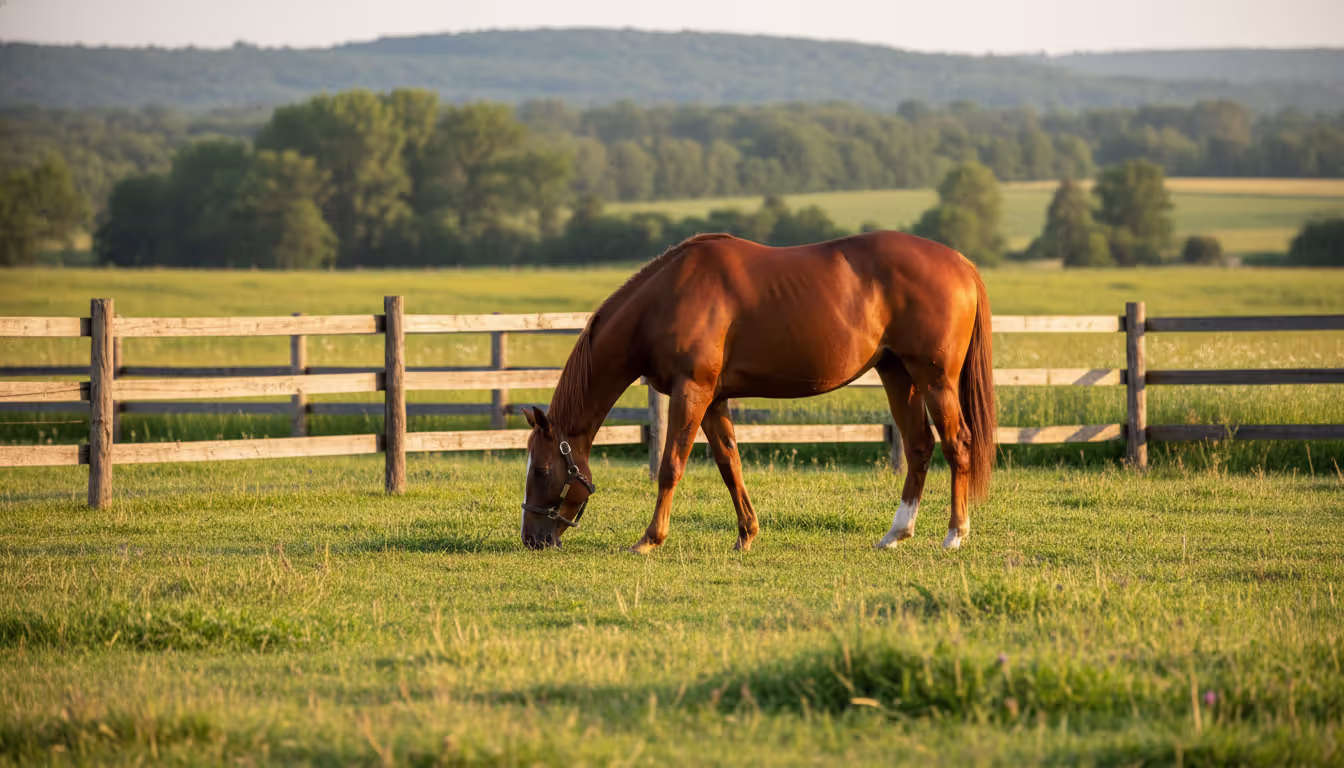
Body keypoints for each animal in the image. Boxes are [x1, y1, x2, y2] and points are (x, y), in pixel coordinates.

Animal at [519, 230, 996, 553]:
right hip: (897, 374)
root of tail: (961, 263)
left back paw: (955, 535)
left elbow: (671, 466)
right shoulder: (713, 399)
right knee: (918, 447)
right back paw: (896, 533)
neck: (665, 298)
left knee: (958, 444)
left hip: (935, 380)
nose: (531, 538)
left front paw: (649, 540)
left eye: (541, 470)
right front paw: (746, 535)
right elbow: (730, 465)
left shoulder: (691, 392)